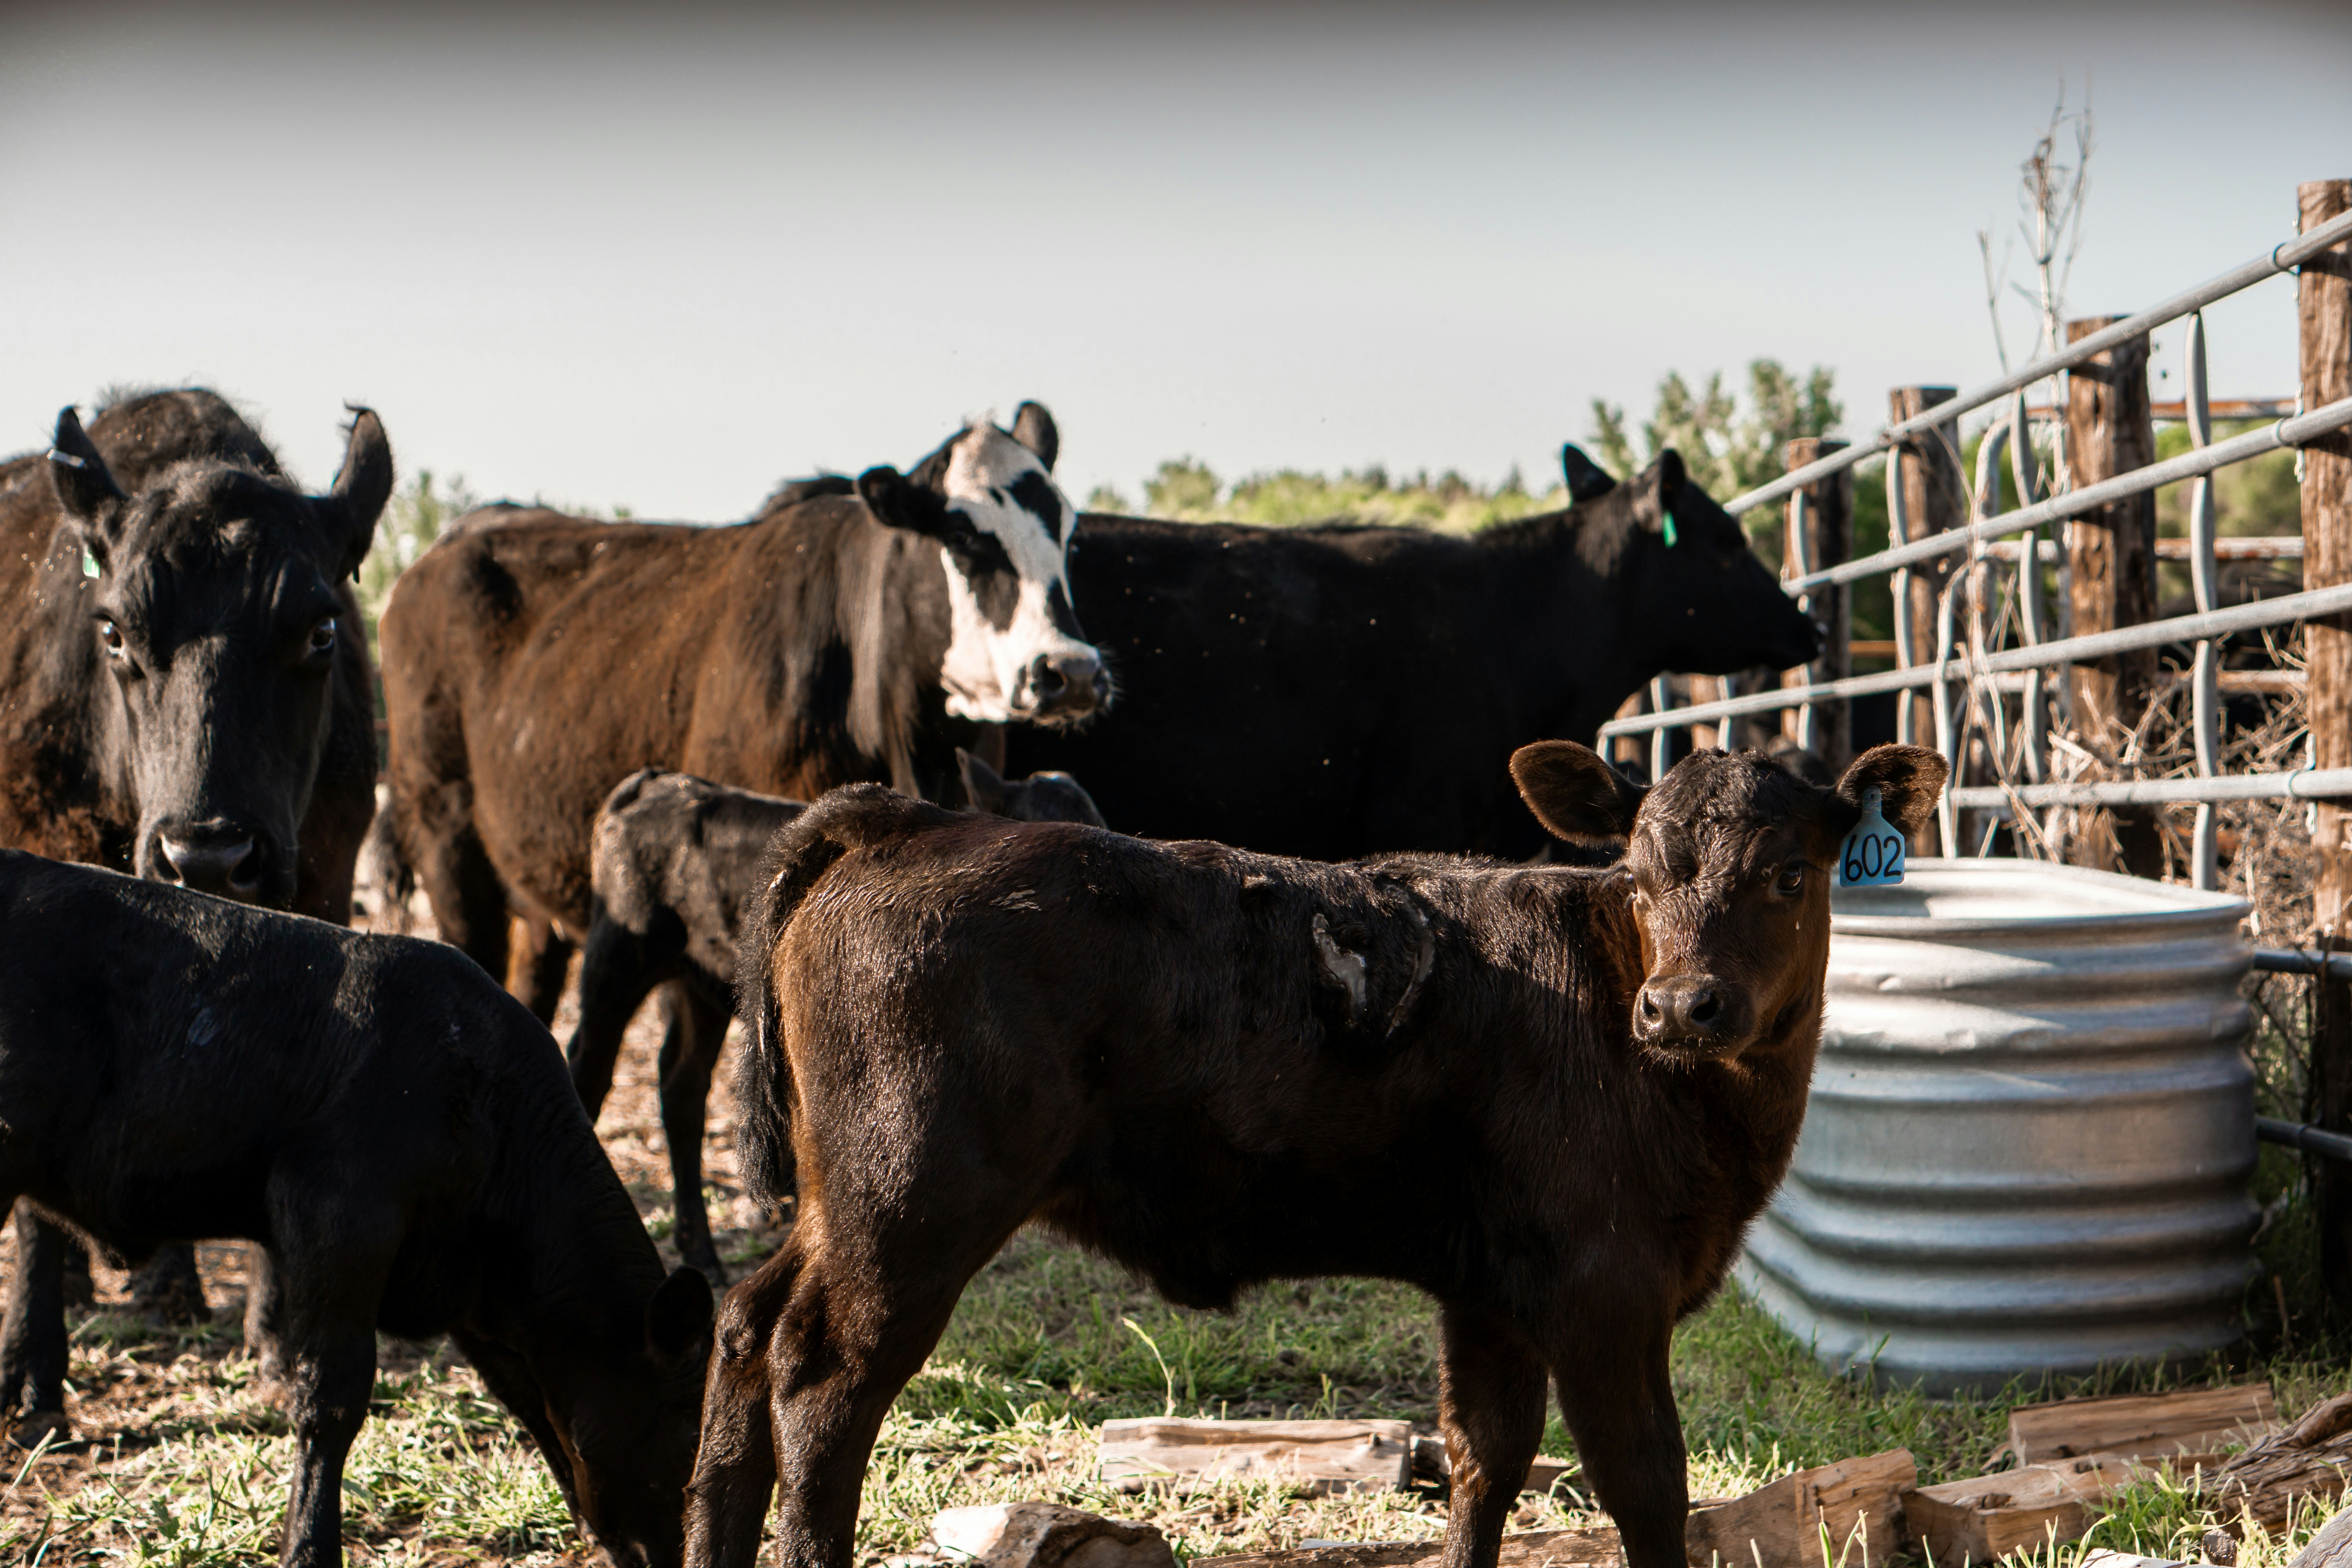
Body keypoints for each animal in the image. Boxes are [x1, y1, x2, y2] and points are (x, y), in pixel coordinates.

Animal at [0, 390, 389, 1430]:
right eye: (113, 635)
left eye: (320, 631)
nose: (207, 855)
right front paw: (30, 1368)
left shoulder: (324, 883)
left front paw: (281, 1334)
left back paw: (166, 1281)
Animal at [564, 755, 1105, 1282]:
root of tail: (656, 781)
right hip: (617, 957)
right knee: (589, 1064)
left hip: (704, 987)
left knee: (683, 1087)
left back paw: (701, 1250)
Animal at [684, 741, 1947, 1568]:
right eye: (1640, 877)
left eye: (1789, 874)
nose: (1682, 1006)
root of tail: (913, 821)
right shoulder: (1604, 1291)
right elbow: (1646, 1488)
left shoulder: (1492, 1293)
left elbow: (1486, 1460)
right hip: (912, 1199)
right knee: (821, 1377)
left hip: (846, 1202)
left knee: (745, 1325)